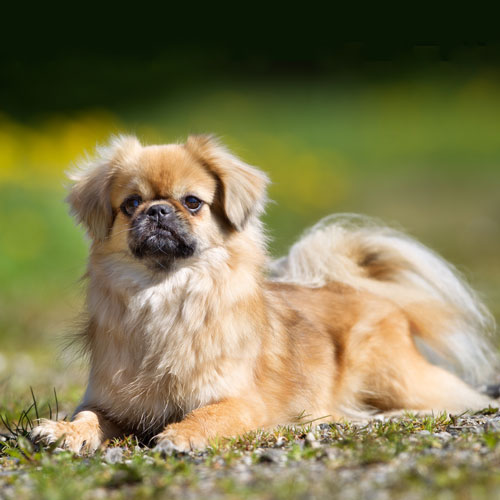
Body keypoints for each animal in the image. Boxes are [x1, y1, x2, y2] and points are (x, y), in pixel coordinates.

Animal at [32, 134, 496, 454]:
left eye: (192, 202)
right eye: (131, 204)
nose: (158, 210)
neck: (165, 295)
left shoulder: (240, 400)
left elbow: (208, 412)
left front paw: (181, 435)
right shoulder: (109, 402)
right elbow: (88, 416)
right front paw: (62, 431)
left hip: (393, 377)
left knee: (453, 400)